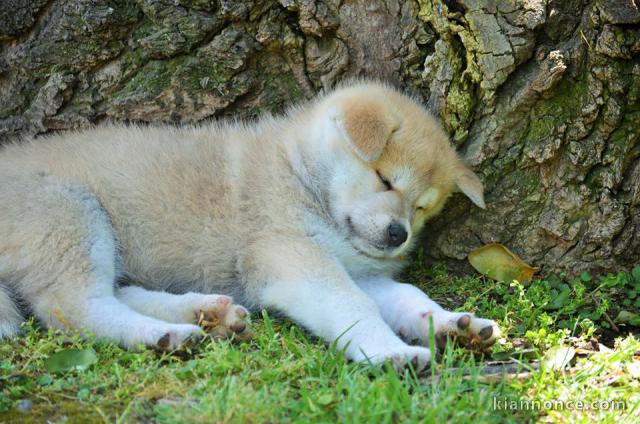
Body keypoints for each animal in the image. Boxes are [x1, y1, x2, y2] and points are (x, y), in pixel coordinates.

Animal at [0, 81, 500, 370]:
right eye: (385, 179)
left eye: (423, 208)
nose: (399, 236)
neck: (296, 172)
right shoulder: (294, 257)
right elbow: (353, 306)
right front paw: (388, 350)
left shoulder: (359, 270)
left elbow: (408, 297)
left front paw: (450, 323)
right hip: (71, 215)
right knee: (72, 309)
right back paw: (163, 335)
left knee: (113, 295)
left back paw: (204, 314)